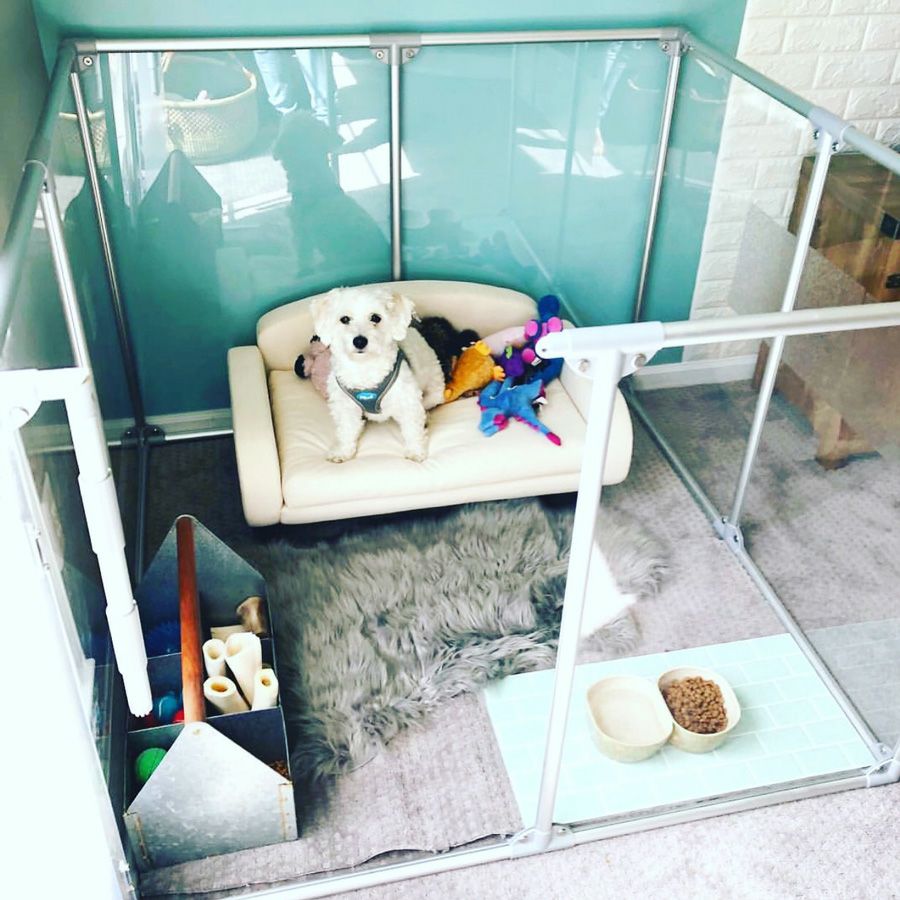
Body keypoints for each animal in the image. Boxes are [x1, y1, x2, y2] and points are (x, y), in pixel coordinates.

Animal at [309, 285, 475, 463]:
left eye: (375, 318)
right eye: (344, 319)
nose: (359, 341)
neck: (365, 368)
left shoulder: (408, 400)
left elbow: (412, 428)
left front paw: (415, 450)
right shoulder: (345, 406)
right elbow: (346, 430)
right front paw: (342, 451)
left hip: (434, 391)